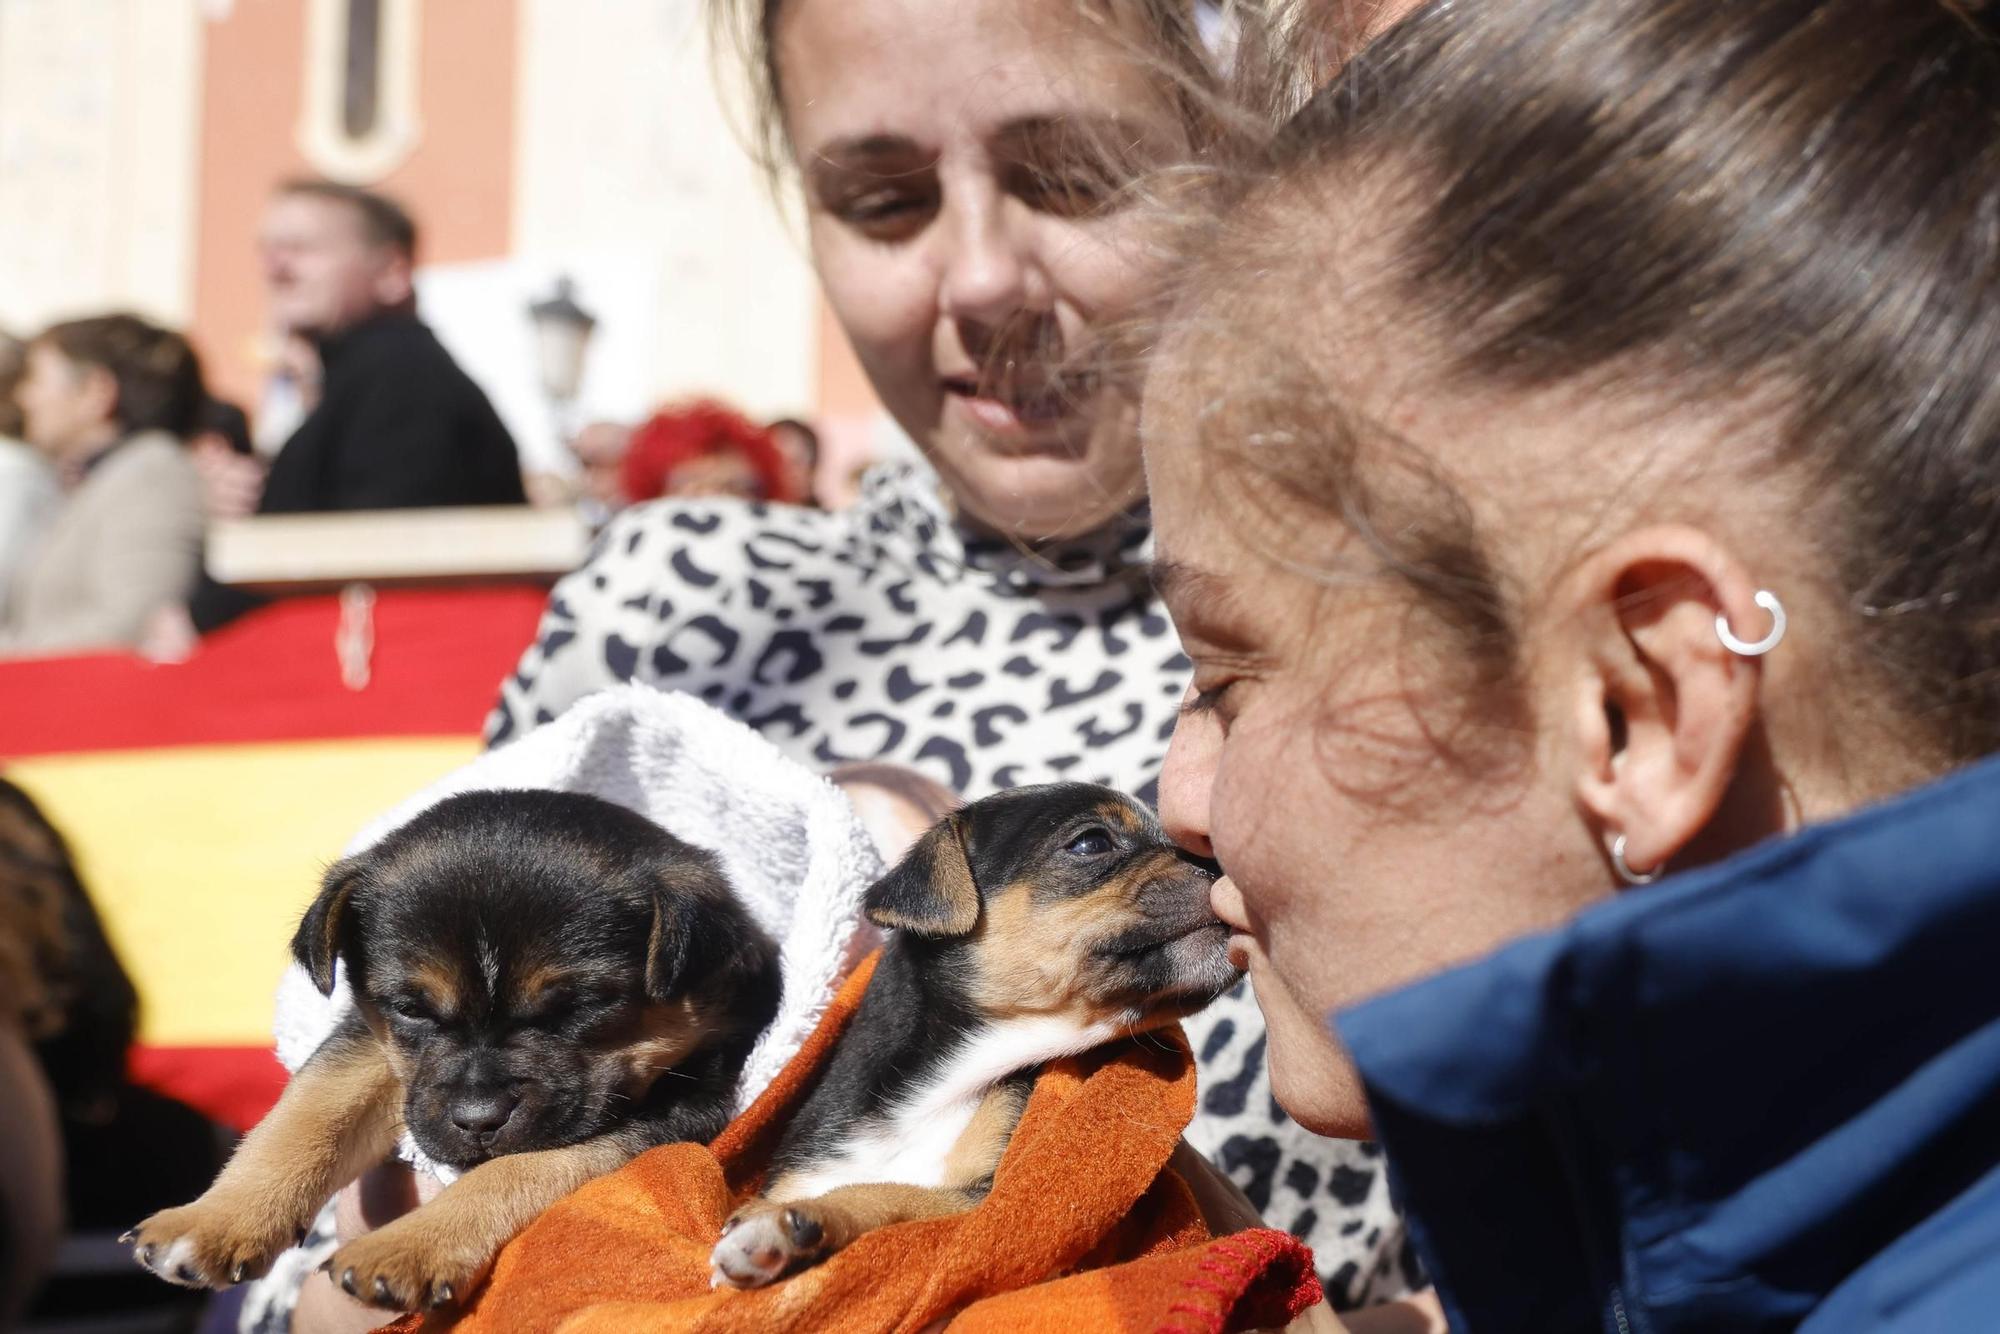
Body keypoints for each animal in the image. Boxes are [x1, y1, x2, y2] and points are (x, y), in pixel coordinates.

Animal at [127, 788, 780, 1312]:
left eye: (582, 1006)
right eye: (411, 1009)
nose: (478, 1120)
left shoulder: (686, 1109)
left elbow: (518, 1169)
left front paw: (407, 1247)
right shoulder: (364, 1040)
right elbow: (306, 1113)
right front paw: (212, 1219)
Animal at [704, 784, 1232, 1296]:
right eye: (1091, 843)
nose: (1219, 862)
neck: (942, 1093)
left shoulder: (990, 1202)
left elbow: (891, 1192)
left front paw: (788, 1225)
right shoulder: (808, 1172)